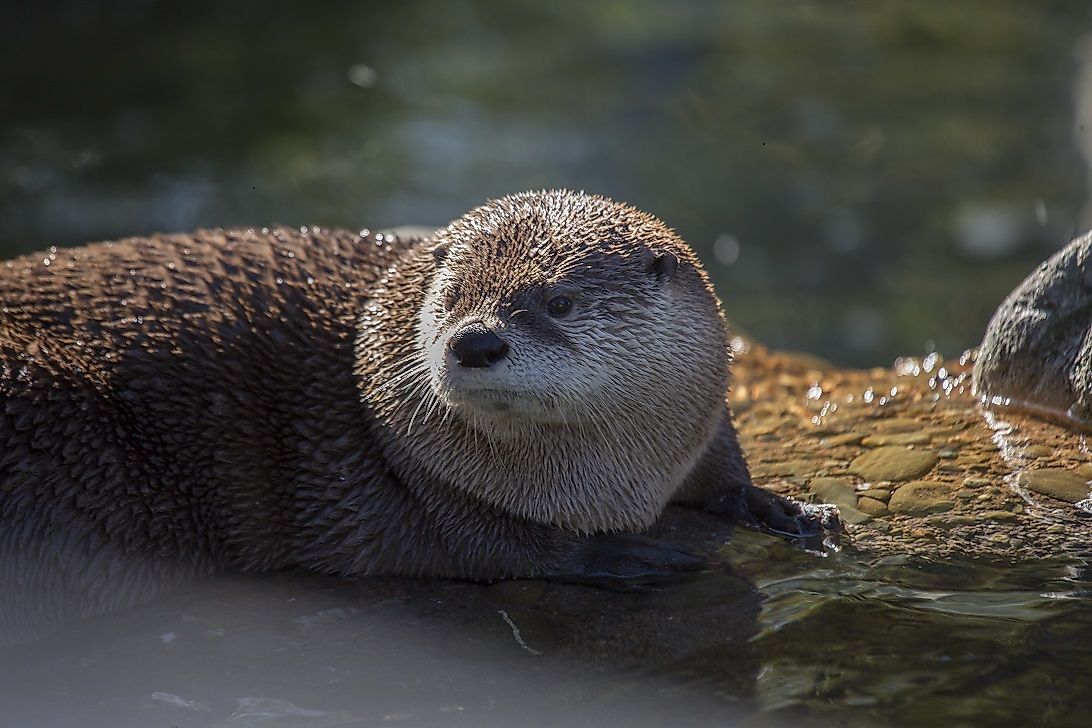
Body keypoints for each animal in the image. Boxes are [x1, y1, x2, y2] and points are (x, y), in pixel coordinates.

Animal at [0, 190, 830, 581]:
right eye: (455, 294)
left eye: (557, 301)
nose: (474, 340)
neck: (611, 485)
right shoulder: (436, 488)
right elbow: (510, 549)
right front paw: (624, 557)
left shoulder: (698, 417)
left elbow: (721, 470)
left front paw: (781, 507)